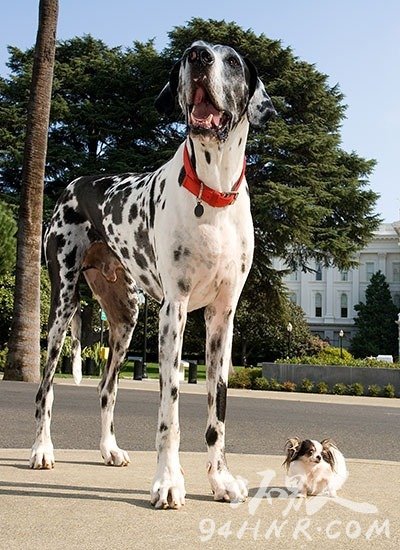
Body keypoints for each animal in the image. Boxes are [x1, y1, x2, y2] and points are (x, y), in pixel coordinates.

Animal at [30, 41, 276, 512]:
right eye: (188, 55)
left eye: (232, 60)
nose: (198, 55)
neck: (213, 192)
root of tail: (75, 182)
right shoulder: (173, 313)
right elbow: (169, 414)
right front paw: (167, 482)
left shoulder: (222, 318)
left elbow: (217, 412)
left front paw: (220, 480)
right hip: (61, 309)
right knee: (46, 388)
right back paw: (41, 449)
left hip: (125, 320)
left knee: (106, 387)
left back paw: (109, 449)